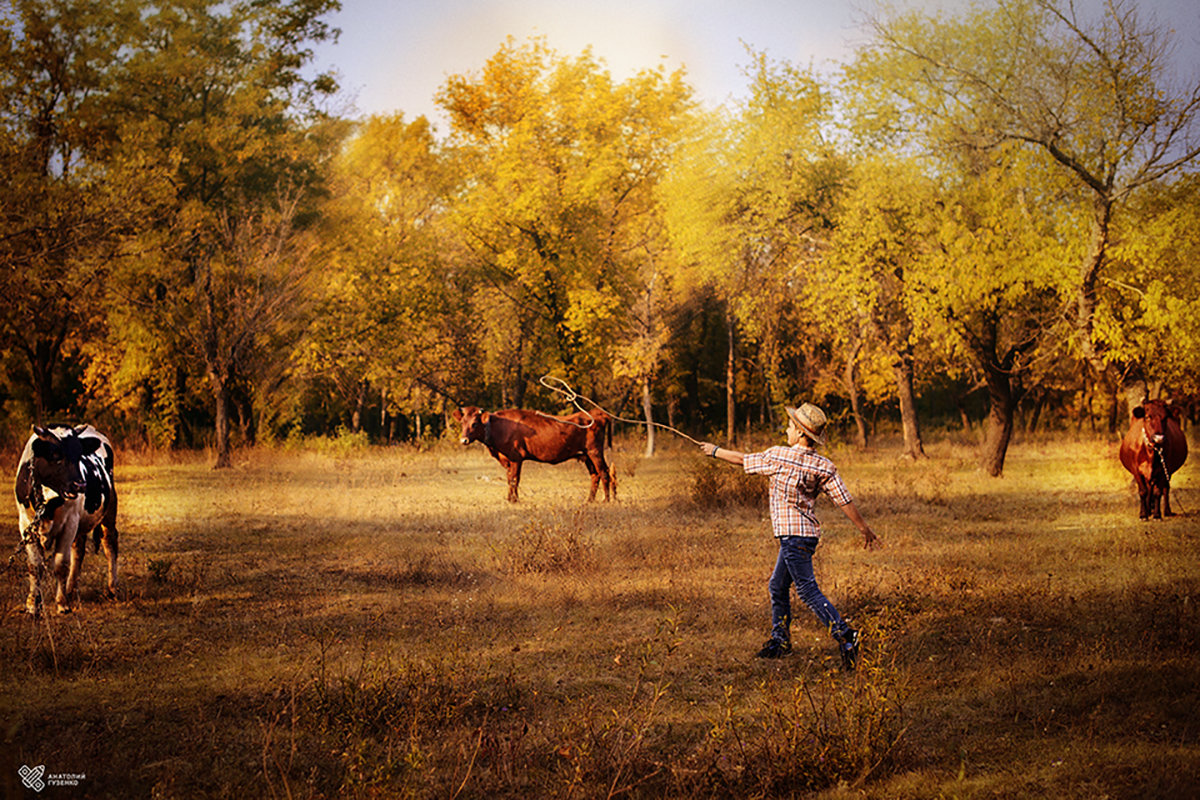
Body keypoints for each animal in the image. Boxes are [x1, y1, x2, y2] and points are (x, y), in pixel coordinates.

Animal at [14, 424, 117, 618]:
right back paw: (71, 589)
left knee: (110, 545)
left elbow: (61, 564)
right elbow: (35, 566)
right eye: (56, 455)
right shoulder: (25, 524)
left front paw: (62, 604)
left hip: (109, 510)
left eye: (79, 454)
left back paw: (112, 589)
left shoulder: (69, 523)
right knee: (78, 550)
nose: (80, 485)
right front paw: (33, 604)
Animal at [451, 407, 619, 501]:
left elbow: (514, 479)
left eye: (475, 423)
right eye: (462, 423)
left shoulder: (516, 457)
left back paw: (606, 500)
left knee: (604, 473)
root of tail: (597, 414)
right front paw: (509, 498)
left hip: (595, 451)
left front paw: (514, 500)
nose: (464, 440)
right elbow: (509, 479)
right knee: (595, 475)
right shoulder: (507, 459)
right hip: (586, 455)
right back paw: (589, 500)